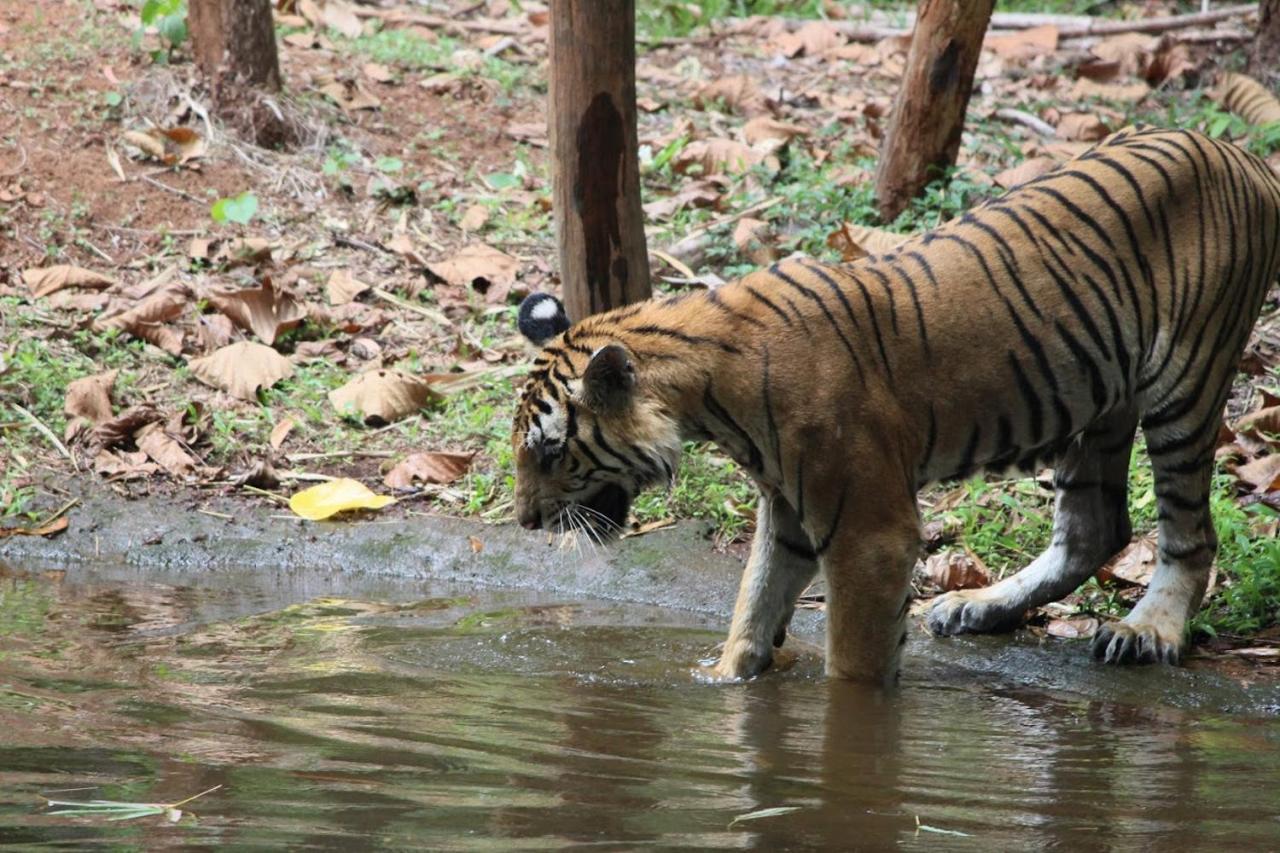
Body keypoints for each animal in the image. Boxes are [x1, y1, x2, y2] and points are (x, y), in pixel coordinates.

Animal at [509, 128, 1280, 686]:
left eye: (550, 450)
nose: (524, 523)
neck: (707, 393)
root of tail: (1242, 156)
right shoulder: (787, 510)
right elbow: (753, 603)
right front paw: (725, 678)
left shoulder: (869, 530)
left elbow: (850, 661)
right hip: (1100, 402)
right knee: (1095, 526)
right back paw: (977, 605)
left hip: (1186, 383)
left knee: (1188, 534)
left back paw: (1146, 631)